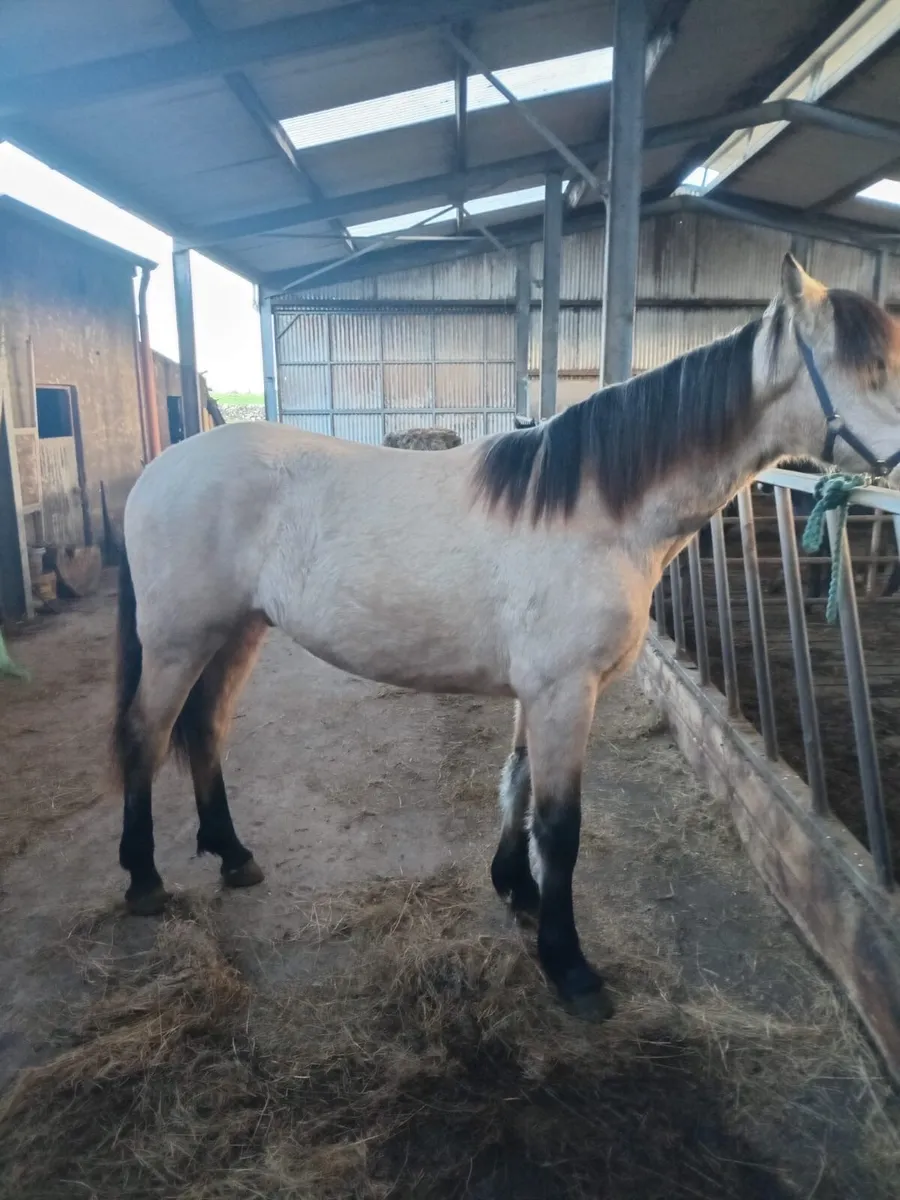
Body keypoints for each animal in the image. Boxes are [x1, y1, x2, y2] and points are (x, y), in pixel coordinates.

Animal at [112, 254, 900, 1015]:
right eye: (870, 368)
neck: (600, 514)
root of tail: (158, 470)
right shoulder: (563, 693)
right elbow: (559, 825)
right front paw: (570, 967)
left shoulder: (540, 693)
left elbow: (517, 782)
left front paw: (515, 888)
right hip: (180, 640)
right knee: (146, 735)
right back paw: (145, 879)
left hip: (238, 632)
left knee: (205, 730)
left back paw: (231, 854)